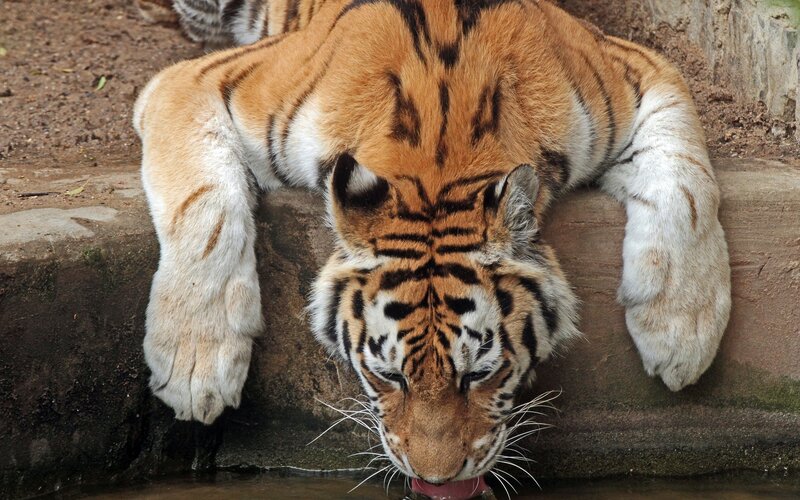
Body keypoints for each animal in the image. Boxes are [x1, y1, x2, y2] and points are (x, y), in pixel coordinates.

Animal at [133, 0, 732, 490]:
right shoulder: (198, 82)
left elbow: (690, 183)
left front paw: (682, 333)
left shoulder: (642, 73)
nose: (437, 479)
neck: (438, 164)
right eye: (388, 375)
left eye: (480, 374)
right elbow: (204, 207)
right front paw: (196, 367)